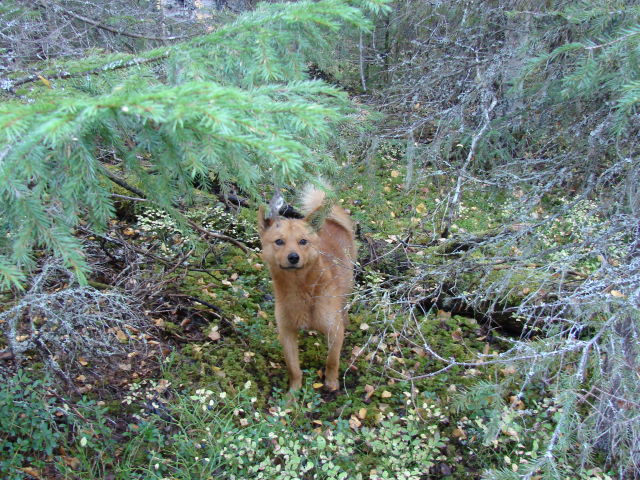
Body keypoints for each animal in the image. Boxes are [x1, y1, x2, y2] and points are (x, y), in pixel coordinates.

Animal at [258, 184, 358, 390]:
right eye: (279, 241)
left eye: (303, 241)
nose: (293, 257)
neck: (302, 290)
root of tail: (330, 221)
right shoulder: (286, 333)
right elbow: (294, 369)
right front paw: (294, 393)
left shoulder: (334, 331)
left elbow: (332, 360)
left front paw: (331, 382)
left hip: (348, 284)